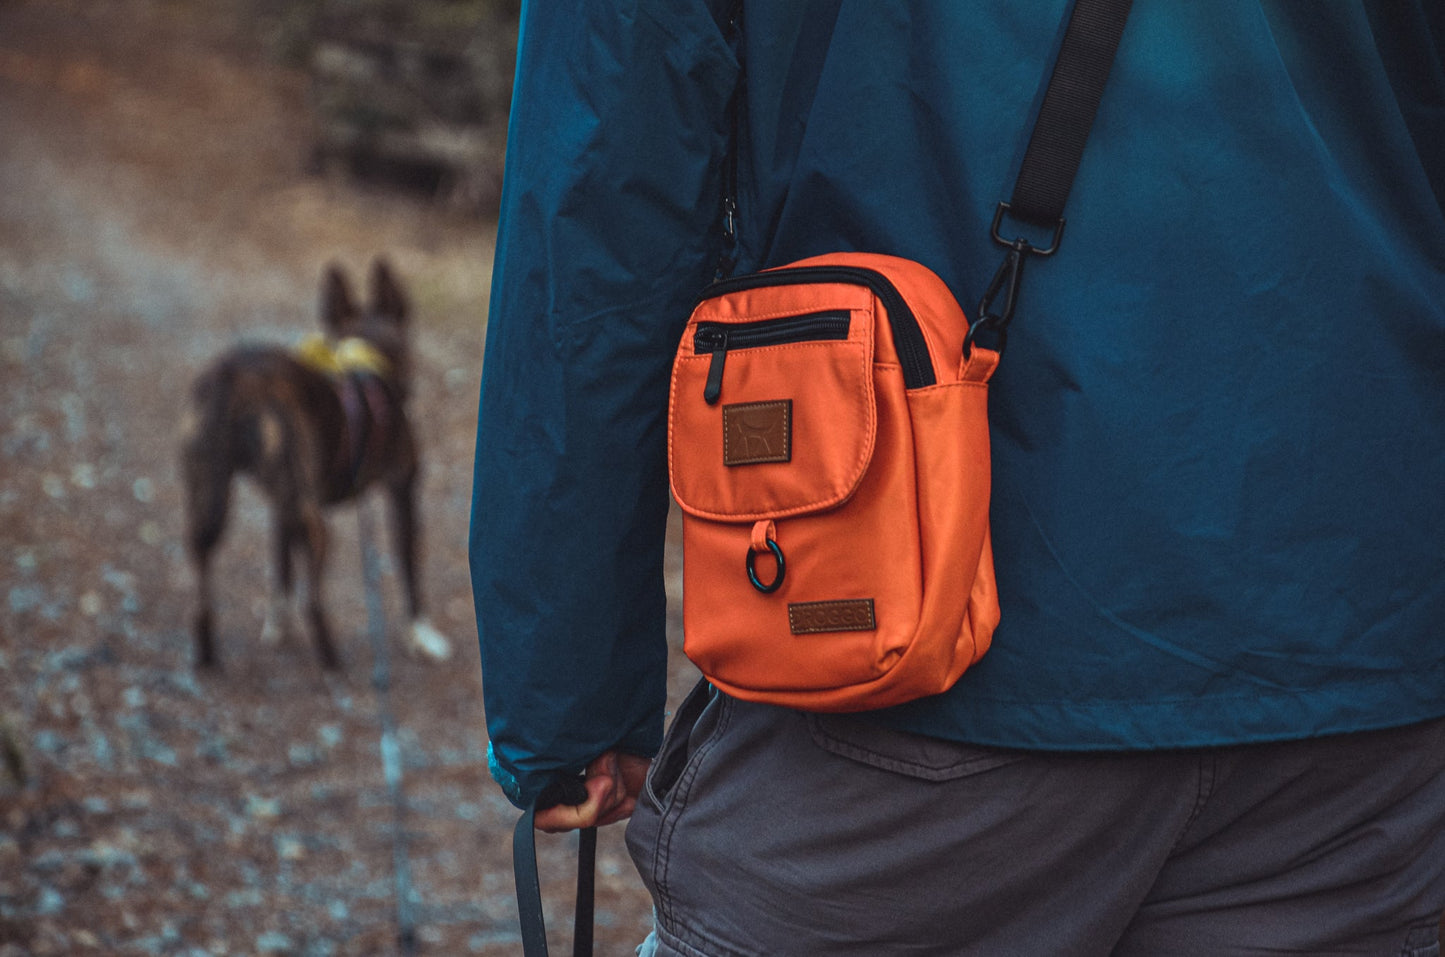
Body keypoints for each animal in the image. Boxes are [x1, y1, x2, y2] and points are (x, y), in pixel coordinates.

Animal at [182, 258, 450, 670]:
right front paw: (422, 636)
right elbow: (410, 571)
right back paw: (332, 659)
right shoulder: (403, 493)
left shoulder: (280, 508)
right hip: (313, 519)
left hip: (213, 494)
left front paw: (277, 626)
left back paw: (207, 651)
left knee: (201, 566)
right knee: (314, 599)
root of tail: (235, 373)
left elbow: (281, 568)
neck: (368, 359)